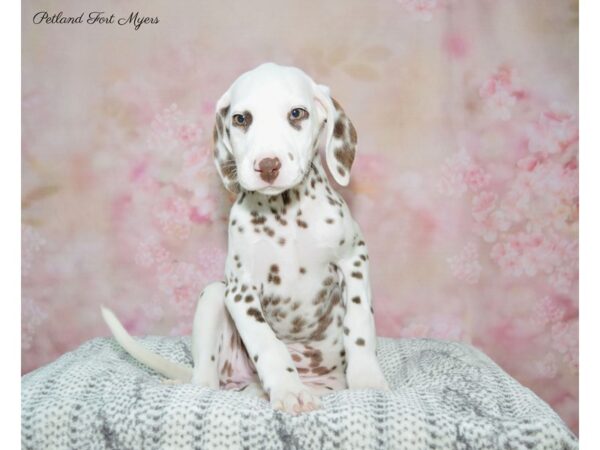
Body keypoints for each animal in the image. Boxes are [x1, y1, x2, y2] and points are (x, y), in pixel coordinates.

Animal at [102, 62, 390, 414]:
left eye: (297, 113)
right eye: (241, 119)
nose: (267, 165)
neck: (286, 217)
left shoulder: (354, 260)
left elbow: (360, 327)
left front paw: (367, 380)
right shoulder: (241, 290)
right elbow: (267, 344)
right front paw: (289, 390)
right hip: (214, 297)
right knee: (205, 380)